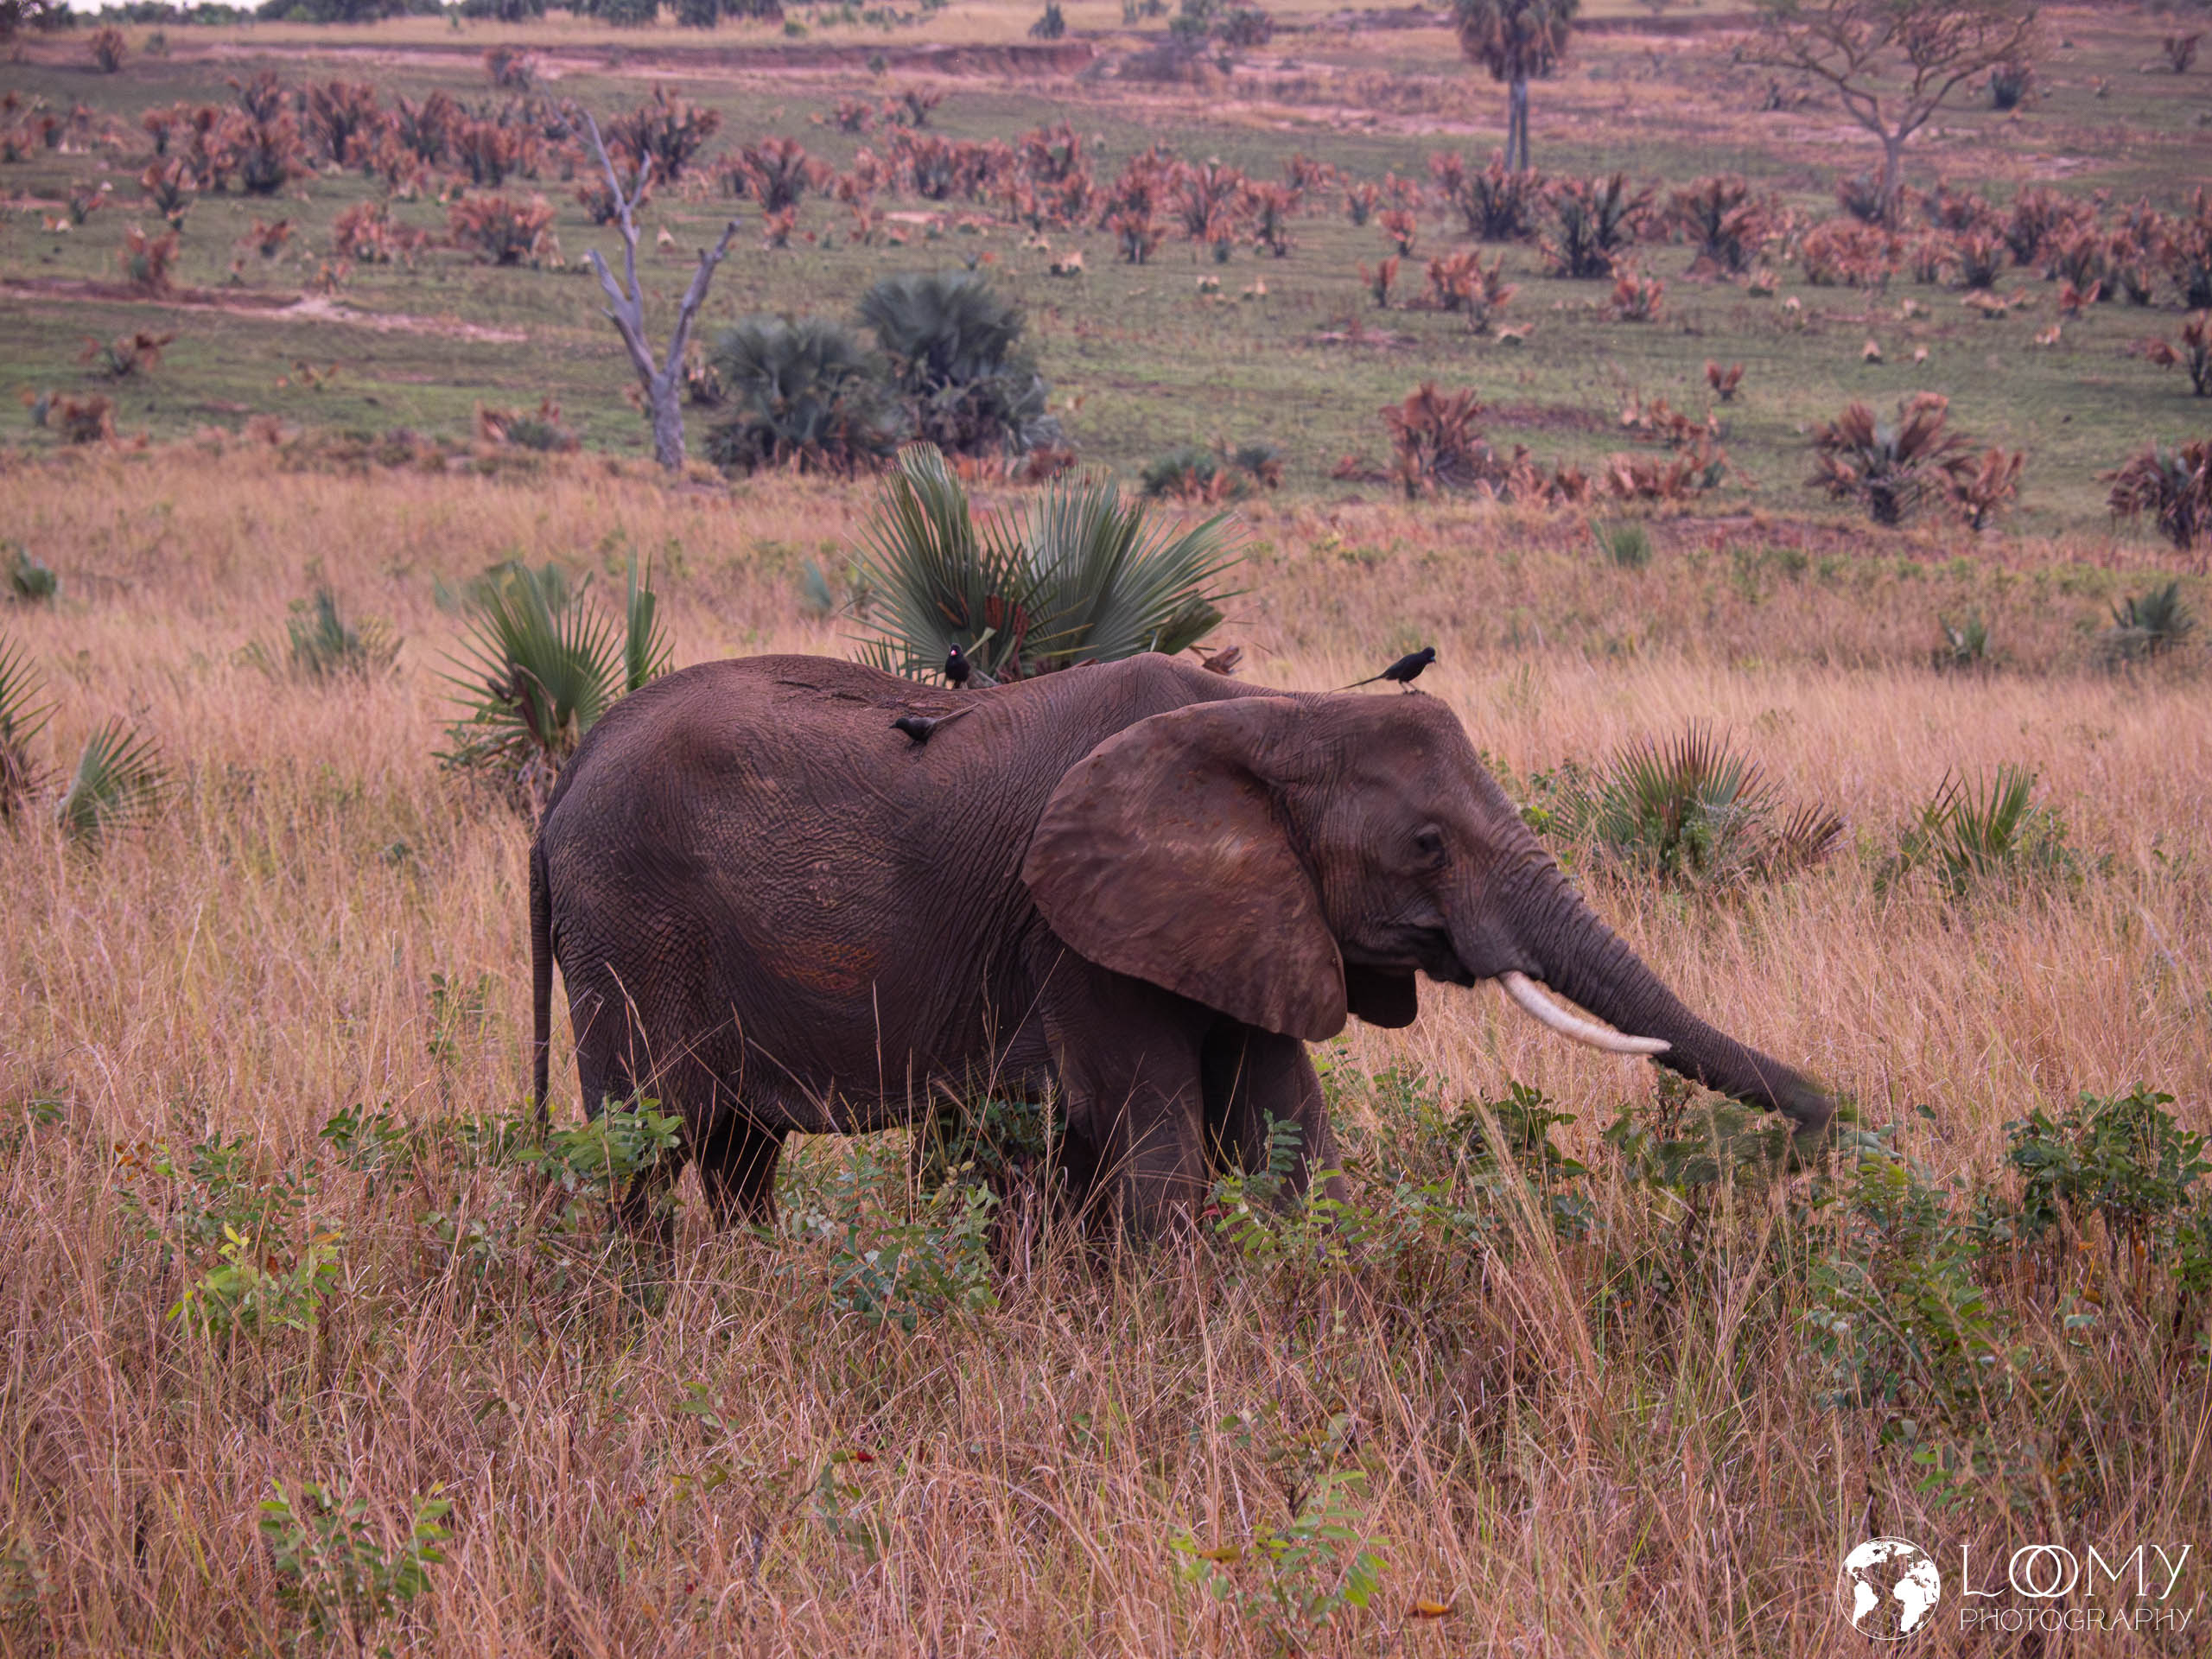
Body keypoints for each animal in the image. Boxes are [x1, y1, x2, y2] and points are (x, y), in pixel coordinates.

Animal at [529, 652, 1832, 1234]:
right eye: (1424, 845)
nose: (1827, 1131)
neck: (1273, 711)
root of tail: (566, 776)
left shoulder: (1247, 917)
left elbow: (1286, 1135)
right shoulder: (1080, 936)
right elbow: (1150, 1141)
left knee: (738, 1155)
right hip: (630, 927)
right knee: (645, 1147)